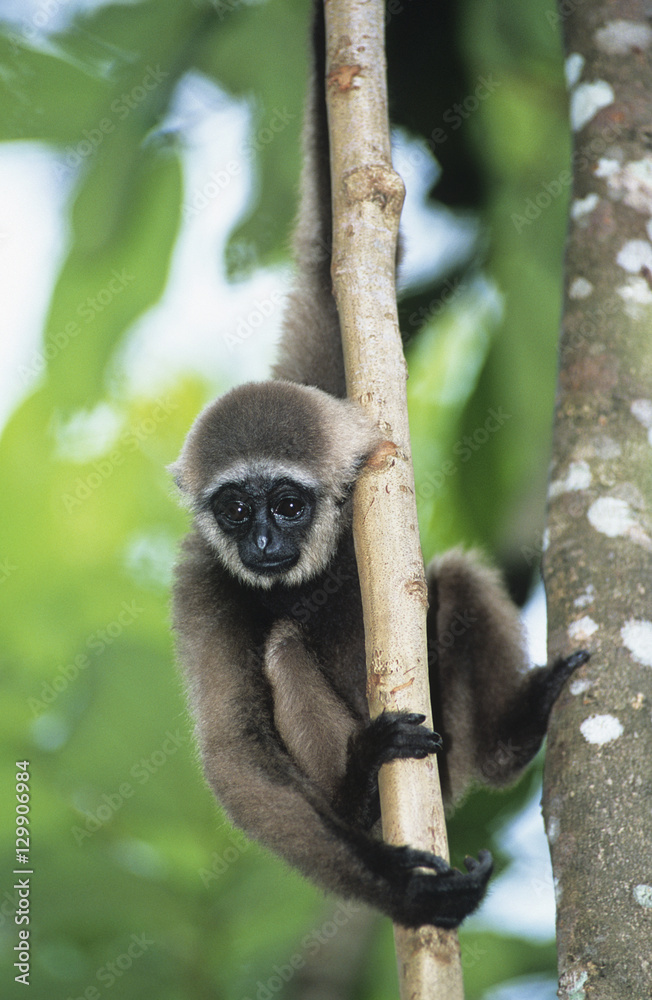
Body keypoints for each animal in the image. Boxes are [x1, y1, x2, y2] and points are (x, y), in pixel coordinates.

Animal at [170, 3, 588, 929]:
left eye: (286, 505)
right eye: (235, 509)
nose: (261, 545)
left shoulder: (335, 396)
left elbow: (337, 241)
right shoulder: (200, 582)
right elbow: (235, 757)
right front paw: (403, 887)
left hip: (455, 747)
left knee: (456, 577)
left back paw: (509, 738)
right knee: (284, 646)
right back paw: (363, 790)